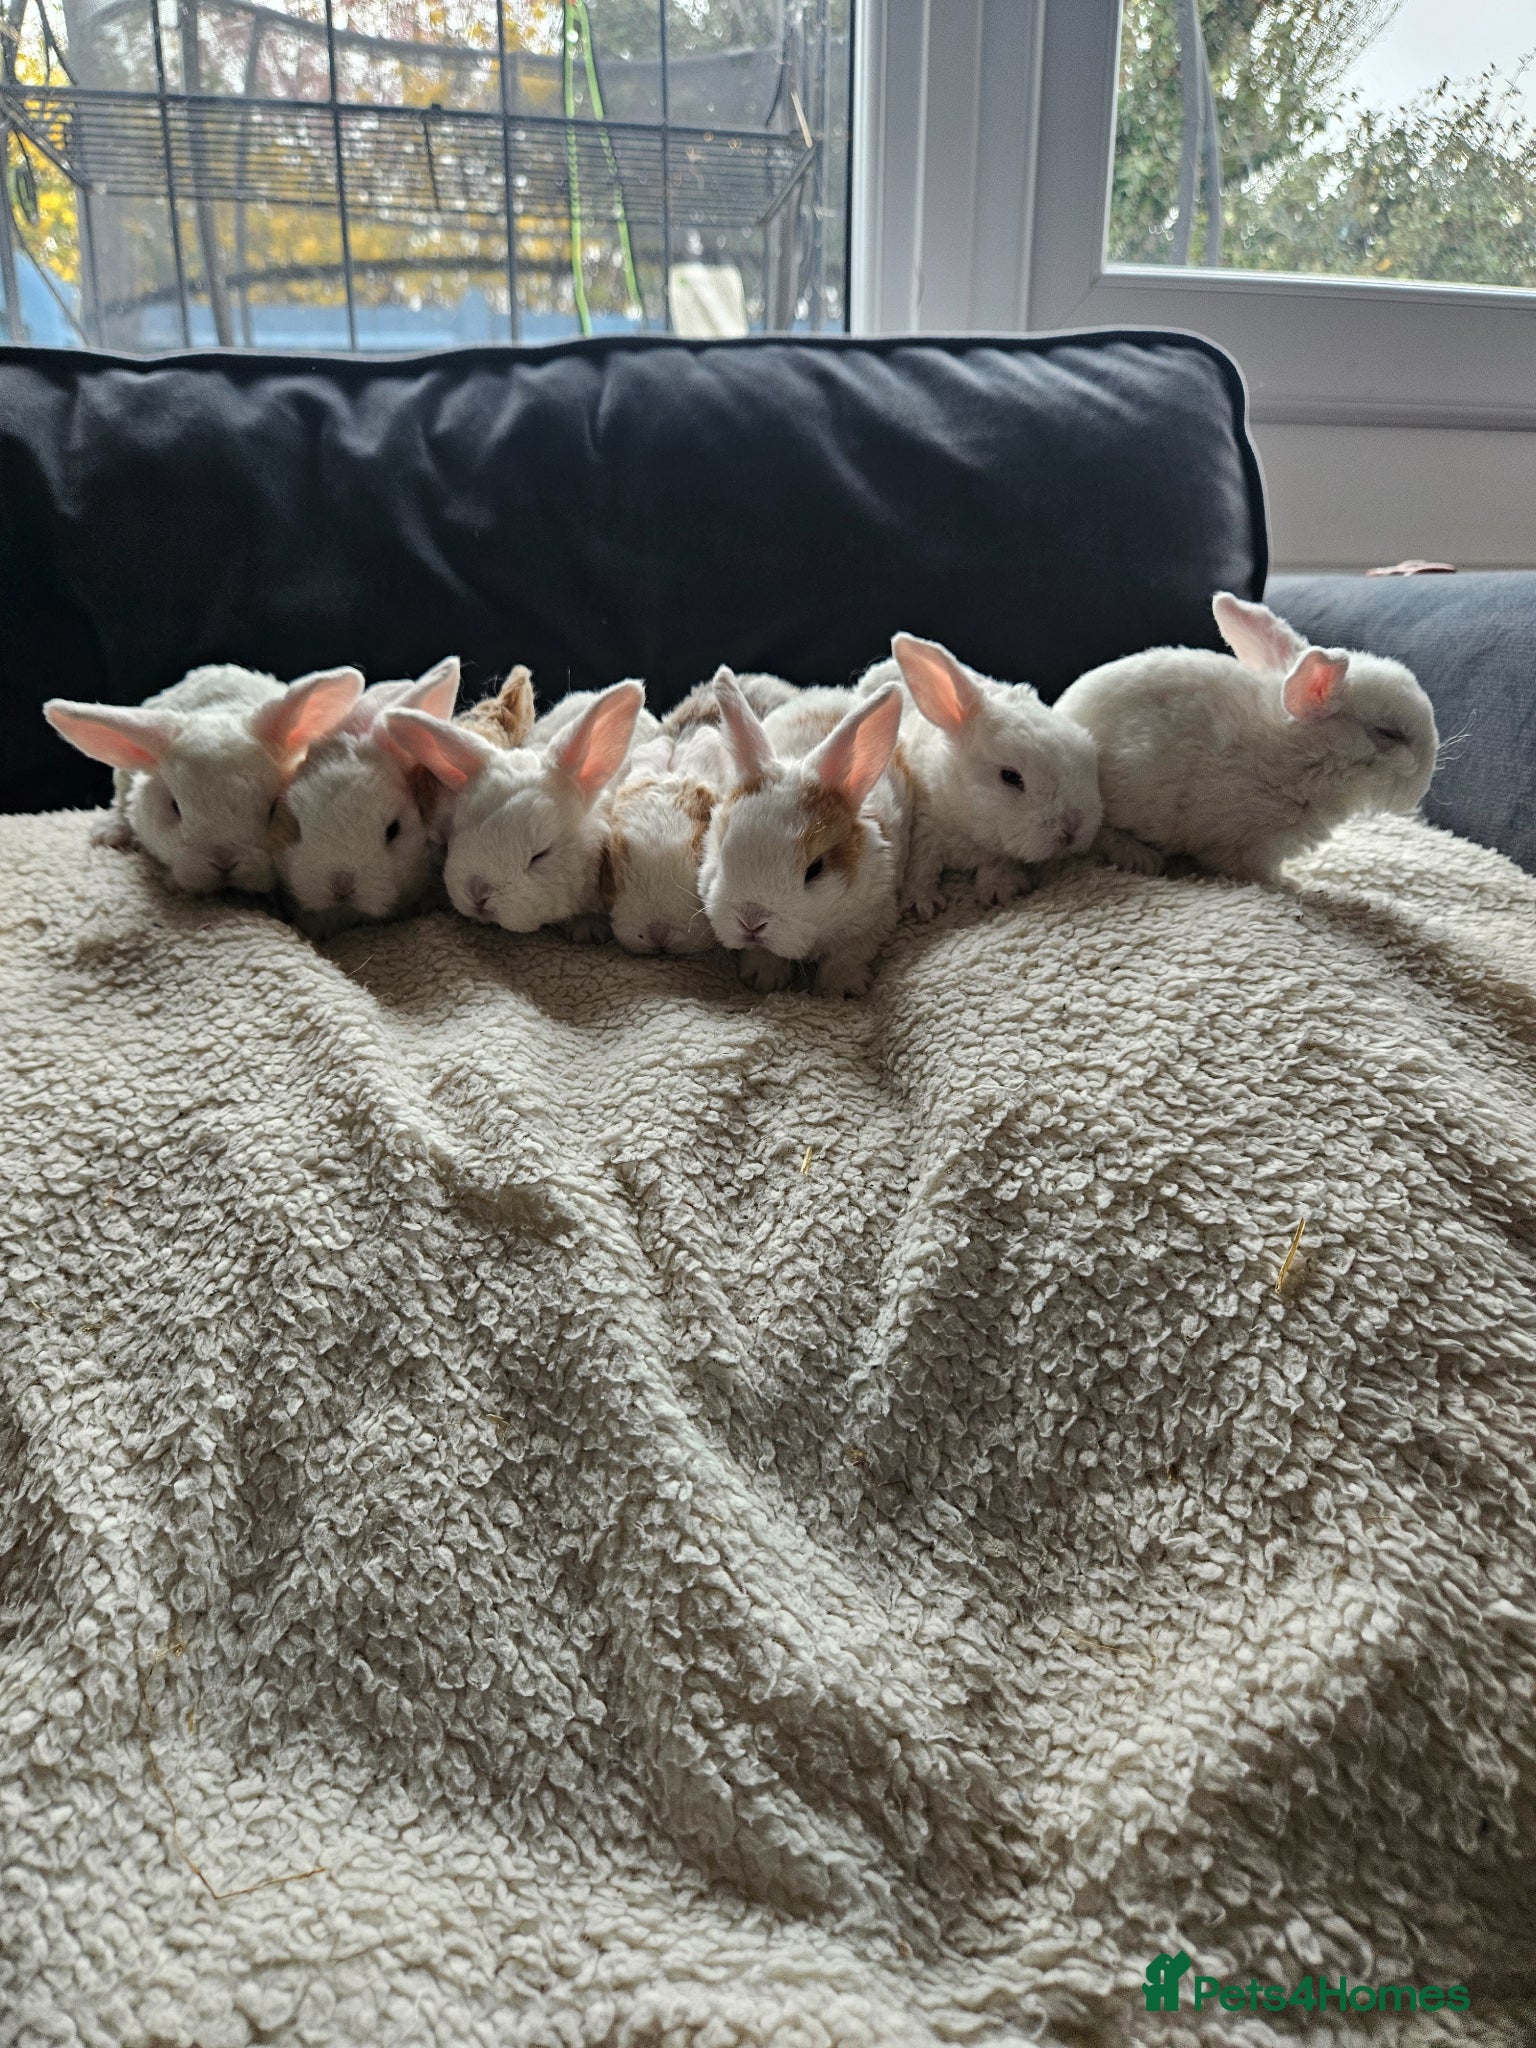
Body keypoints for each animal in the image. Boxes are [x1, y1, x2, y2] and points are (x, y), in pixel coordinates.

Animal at [699, 675, 911, 998]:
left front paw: (840, 989)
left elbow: (848, 954)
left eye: (815, 870)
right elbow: (764, 953)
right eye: (722, 852)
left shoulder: (872, 916)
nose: (751, 921)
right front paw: (763, 979)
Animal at [860, 633, 1101, 917]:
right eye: (1010, 777)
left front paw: (999, 891)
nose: (1073, 828)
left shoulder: (994, 848)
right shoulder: (923, 829)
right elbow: (921, 868)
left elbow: (995, 864)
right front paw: (923, 905)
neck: (967, 824)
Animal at [1053, 592, 1440, 882]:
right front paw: (1288, 884)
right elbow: (1251, 870)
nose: (1423, 786)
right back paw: (1140, 858)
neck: (1301, 755)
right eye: (1389, 734)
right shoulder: (1244, 844)